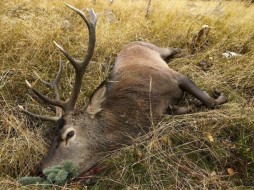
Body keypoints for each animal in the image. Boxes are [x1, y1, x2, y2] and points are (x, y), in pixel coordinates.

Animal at [19, 4, 226, 177]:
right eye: (52, 135)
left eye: (69, 134)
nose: (41, 170)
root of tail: (132, 42)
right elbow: (180, 110)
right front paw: (187, 107)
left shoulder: (175, 77)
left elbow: (209, 101)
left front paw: (220, 96)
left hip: (156, 48)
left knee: (173, 48)